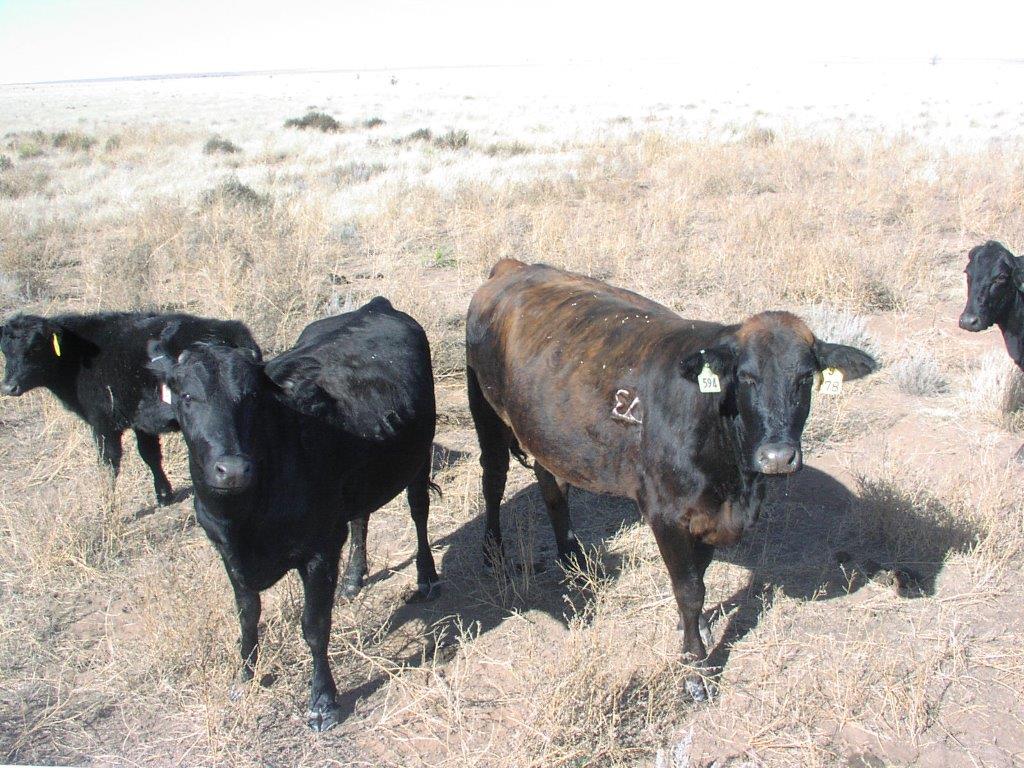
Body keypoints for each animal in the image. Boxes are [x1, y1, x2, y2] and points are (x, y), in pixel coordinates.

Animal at [0, 311, 260, 505]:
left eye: (34, 349)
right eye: (4, 351)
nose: (9, 386)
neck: (79, 356)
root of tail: (229, 328)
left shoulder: (103, 424)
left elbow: (109, 464)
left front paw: (106, 504)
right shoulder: (142, 422)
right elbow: (150, 455)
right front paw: (164, 495)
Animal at [146, 297, 440, 731]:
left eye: (250, 397)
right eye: (185, 397)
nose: (233, 469)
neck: (245, 516)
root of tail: (375, 305)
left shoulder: (319, 551)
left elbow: (314, 626)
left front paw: (322, 701)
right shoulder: (229, 555)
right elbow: (247, 617)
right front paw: (245, 677)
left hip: (418, 458)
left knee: (419, 511)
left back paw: (427, 576)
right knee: (360, 518)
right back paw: (354, 578)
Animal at [465, 260, 877, 699]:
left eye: (805, 378)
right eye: (745, 377)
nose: (777, 457)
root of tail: (514, 267)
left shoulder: (710, 514)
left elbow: (700, 574)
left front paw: (694, 629)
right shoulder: (664, 512)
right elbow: (689, 589)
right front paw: (695, 667)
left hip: (547, 432)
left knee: (552, 483)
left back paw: (572, 556)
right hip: (486, 412)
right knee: (493, 478)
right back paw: (493, 553)